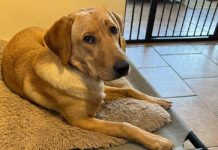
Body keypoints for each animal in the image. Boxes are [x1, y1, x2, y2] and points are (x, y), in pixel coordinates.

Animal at [2, 8, 174, 150]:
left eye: (113, 29)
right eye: (88, 38)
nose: (124, 67)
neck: (83, 75)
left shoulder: (102, 89)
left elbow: (129, 89)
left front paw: (158, 101)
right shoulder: (81, 120)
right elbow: (123, 125)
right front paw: (155, 140)